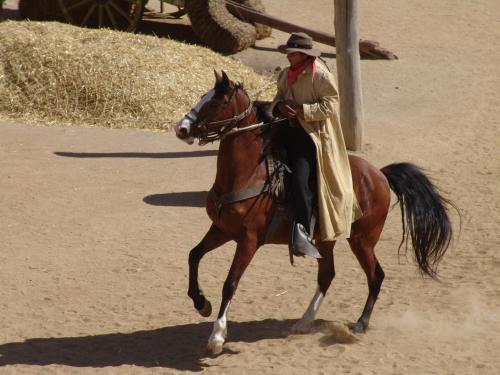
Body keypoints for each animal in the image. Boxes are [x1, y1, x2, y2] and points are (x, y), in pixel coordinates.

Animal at [174, 71, 456, 356]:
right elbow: (193, 255)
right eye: (203, 96)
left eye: (217, 102)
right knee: (327, 274)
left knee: (376, 275)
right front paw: (201, 303)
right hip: (325, 240)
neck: (248, 173)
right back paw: (305, 321)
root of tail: (379, 174)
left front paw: (217, 336)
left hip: (362, 240)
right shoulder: (221, 230)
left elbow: (230, 282)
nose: (181, 128)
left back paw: (360, 324)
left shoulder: (249, 240)